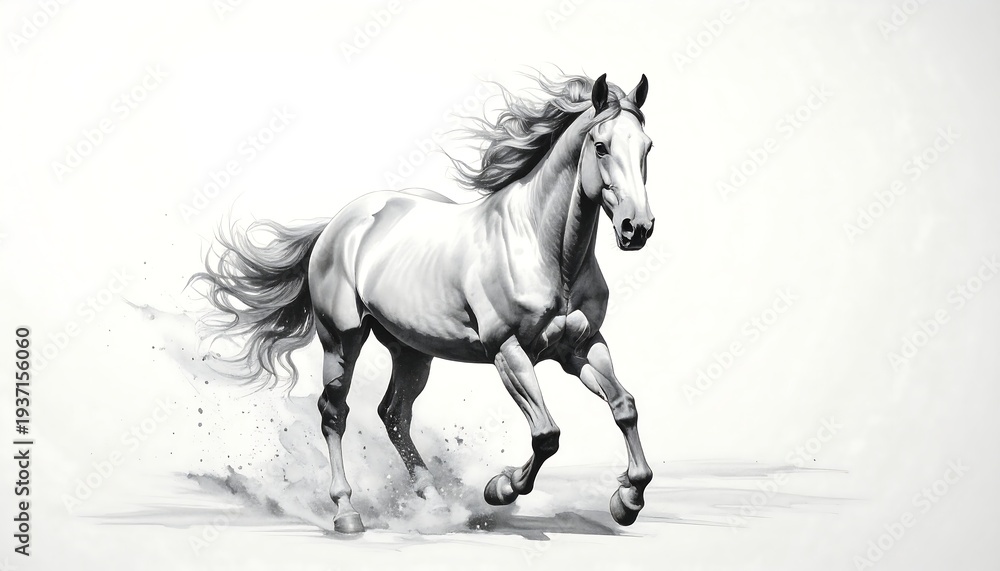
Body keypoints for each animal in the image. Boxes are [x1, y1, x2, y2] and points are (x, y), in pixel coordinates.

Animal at [193, 72, 656, 534]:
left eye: (647, 147)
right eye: (601, 146)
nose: (637, 229)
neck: (546, 253)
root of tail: (339, 224)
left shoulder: (580, 347)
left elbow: (625, 407)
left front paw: (628, 499)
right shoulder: (507, 350)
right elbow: (546, 434)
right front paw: (501, 487)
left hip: (412, 351)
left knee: (394, 414)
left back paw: (432, 501)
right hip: (341, 340)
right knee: (334, 412)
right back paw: (347, 512)